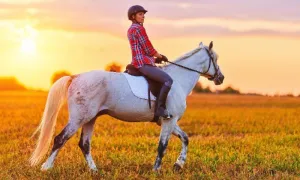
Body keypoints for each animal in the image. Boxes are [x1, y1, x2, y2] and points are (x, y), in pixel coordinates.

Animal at [29, 41, 224, 172]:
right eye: (215, 58)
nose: (220, 78)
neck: (178, 80)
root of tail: (76, 77)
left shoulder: (169, 121)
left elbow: (185, 138)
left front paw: (178, 165)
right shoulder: (169, 121)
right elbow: (162, 146)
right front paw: (156, 171)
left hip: (90, 119)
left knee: (84, 144)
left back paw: (94, 170)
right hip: (79, 118)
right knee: (60, 139)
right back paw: (46, 167)